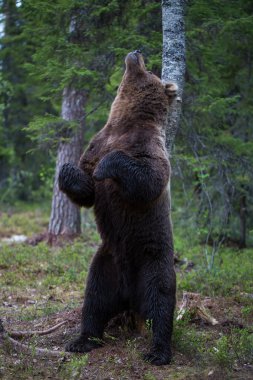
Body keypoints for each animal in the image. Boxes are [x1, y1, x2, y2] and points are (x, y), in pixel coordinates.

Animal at [58, 50, 177, 366]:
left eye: (152, 71)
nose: (136, 52)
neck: (124, 123)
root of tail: (129, 296)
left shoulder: (148, 147)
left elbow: (148, 178)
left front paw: (105, 167)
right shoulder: (98, 141)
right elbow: (86, 189)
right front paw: (67, 170)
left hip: (152, 258)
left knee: (161, 299)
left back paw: (159, 351)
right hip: (106, 262)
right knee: (94, 300)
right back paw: (83, 340)